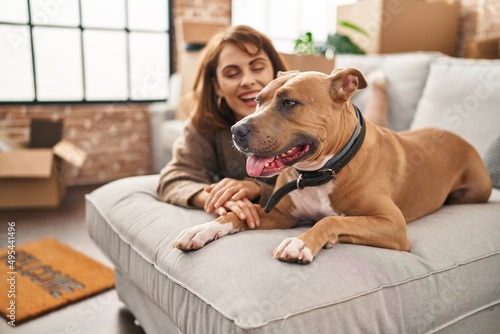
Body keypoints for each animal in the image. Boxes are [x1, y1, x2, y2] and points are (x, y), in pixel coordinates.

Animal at [173, 68, 492, 264]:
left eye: (289, 103)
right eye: (257, 100)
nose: (236, 130)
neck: (318, 172)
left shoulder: (392, 224)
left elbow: (331, 220)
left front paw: (300, 243)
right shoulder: (279, 214)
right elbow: (233, 215)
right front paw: (201, 229)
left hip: (478, 190)